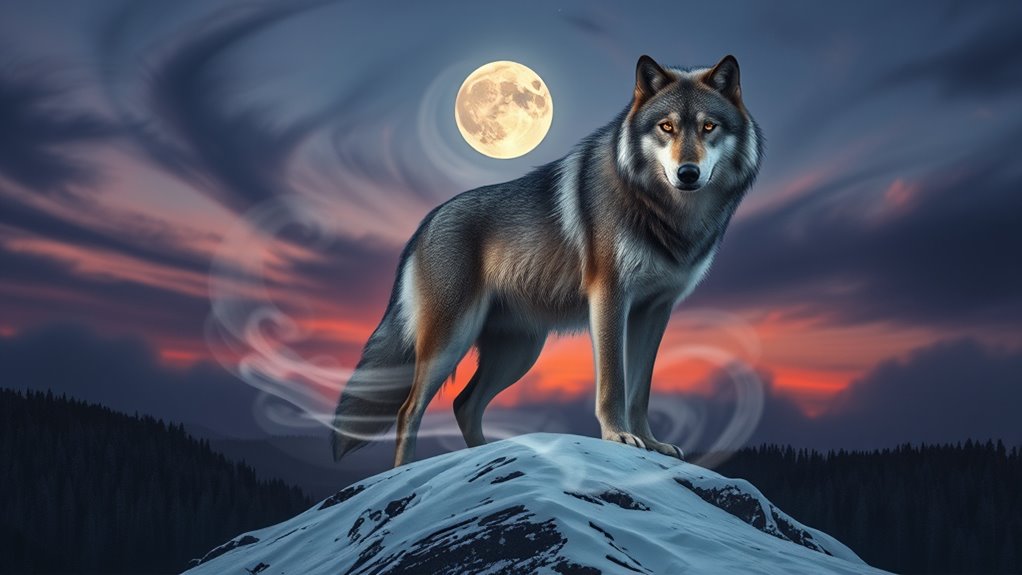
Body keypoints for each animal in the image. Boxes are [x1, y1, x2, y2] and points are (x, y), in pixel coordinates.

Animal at [331, 54, 763, 467]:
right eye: (667, 127)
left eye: (709, 127)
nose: (687, 173)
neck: (664, 213)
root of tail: (425, 223)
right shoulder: (610, 297)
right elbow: (614, 381)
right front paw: (618, 437)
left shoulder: (655, 310)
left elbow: (641, 389)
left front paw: (651, 444)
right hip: (452, 341)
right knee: (409, 410)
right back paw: (402, 474)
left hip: (519, 352)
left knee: (464, 404)